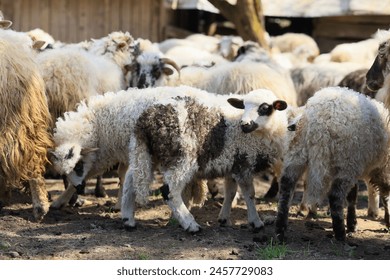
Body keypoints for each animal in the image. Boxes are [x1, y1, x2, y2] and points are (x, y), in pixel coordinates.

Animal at [274, 86, 390, 242]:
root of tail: (316, 117)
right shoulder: (377, 168)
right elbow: (383, 196)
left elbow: (353, 194)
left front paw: (352, 224)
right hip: (346, 160)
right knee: (335, 196)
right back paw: (340, 233)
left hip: (297, 153)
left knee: (286, 186)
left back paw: (280, 230)